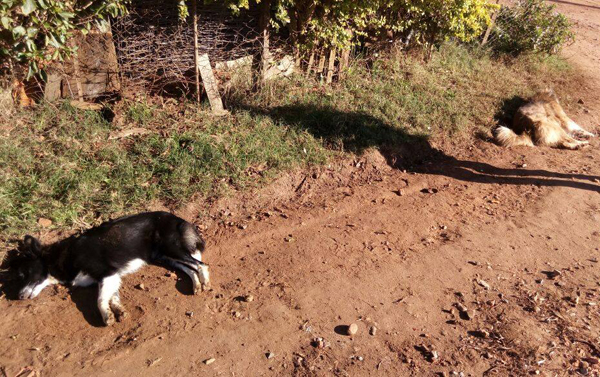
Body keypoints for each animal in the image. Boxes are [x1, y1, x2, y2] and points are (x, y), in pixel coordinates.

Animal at [1, 212, 211, 324]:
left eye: (24, 274)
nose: (18, 296)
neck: (62, 256)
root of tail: (175, 217)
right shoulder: (111, 278)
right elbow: (113, 298)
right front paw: (118, 311)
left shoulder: (107, 274)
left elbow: (100, 299)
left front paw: (106, 316)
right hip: (165, 257)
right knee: (190, 268)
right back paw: (196, 285)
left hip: (171, 249)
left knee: (202, 265)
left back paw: (206, 283)